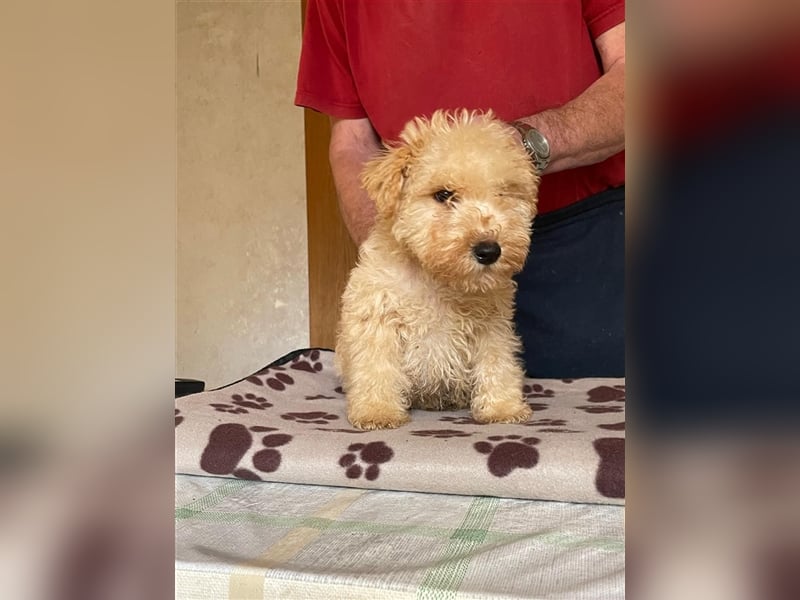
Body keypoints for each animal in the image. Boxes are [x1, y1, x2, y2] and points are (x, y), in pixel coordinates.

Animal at [334, 110, 540, 428]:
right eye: (443, 195)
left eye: (503, 194)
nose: (489, 251)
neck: (436, 278)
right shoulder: (379, 318)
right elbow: (377, 367)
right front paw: (377, 411)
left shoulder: (492, 325)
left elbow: (497, 363)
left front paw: (503, 408)